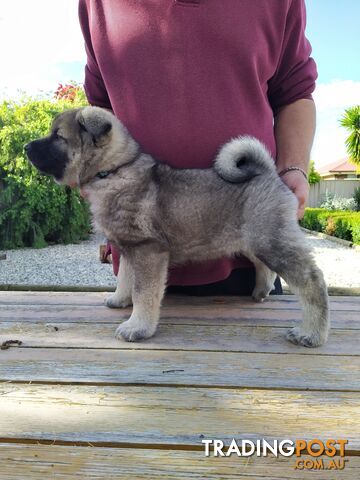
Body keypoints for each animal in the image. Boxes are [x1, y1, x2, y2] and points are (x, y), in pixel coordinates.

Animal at [24, 106, 330, 344]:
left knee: (312, 282)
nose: (26, 147)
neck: (113, 171)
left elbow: (144, 292)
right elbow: (125, 277)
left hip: (272, 241)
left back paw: (311, 333)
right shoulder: (129, 248)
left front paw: (137, 327)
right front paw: (120, 300)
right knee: (262, 264)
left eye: (58, 136)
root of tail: (267, 173)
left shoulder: (148, 251)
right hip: (253, 239)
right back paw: (261, 291)